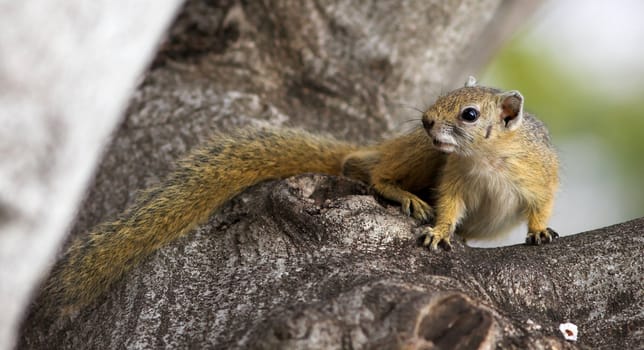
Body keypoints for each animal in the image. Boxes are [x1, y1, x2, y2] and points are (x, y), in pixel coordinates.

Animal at [36, 76, 560, 318]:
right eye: (442, 97)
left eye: (470, 113)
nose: (429, 121)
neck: (486, 159)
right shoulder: (451, 177)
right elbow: (448, 206)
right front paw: (436, 230)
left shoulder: (541, 175)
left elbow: (540, 204)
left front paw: (540, 231)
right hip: (415, 152)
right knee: (362, 170)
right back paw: (397, 190)